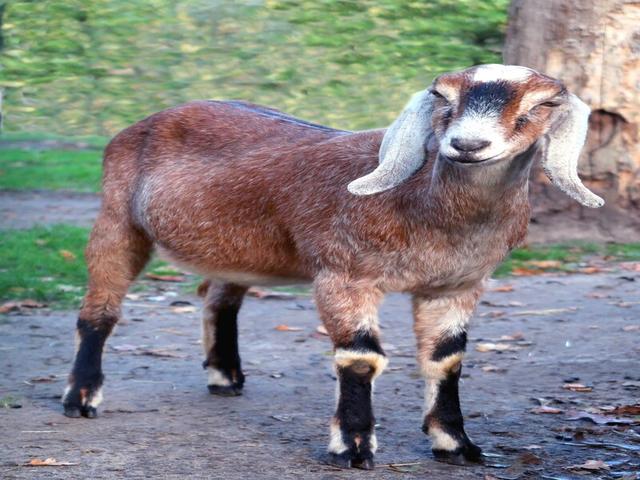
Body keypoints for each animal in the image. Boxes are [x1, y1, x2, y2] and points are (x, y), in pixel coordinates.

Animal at [63, 64, 603, 469]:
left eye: (542, 106)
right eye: (442, 97)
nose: (467, 145)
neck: (424, 204)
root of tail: (145, 121)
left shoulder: (457, 285)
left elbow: (446, 360)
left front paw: (456, 444)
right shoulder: (344, 274)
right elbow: (360, 357)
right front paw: (353, 446)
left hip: (234, 248)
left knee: (218, 298)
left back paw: (223, 375)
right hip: (117, 218)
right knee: (100, 310)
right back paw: (81, 397)